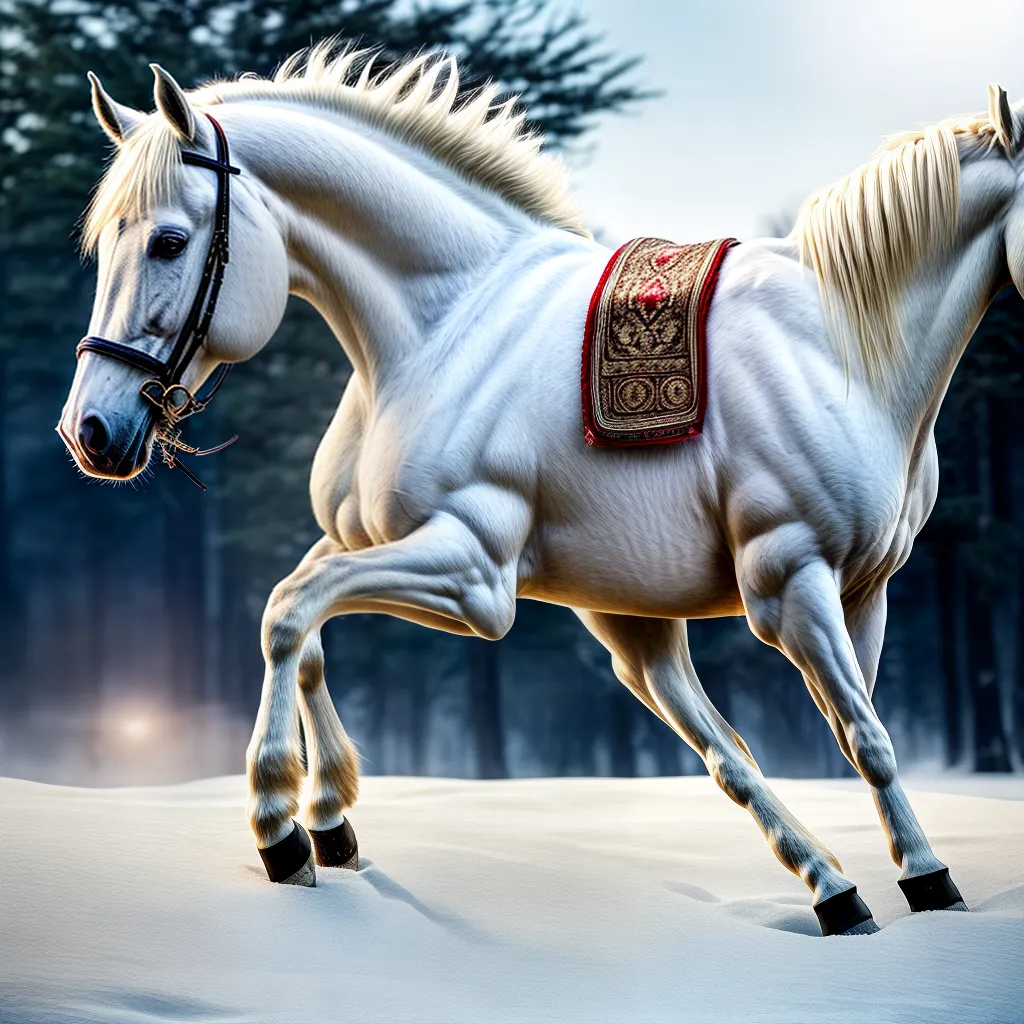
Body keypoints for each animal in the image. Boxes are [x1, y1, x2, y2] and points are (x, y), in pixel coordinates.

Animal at [58, 43, 1023, 936]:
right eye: (107, 244)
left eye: (169, 241)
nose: (90, 432)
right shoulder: (401, 549)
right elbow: (301, 618)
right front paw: (322, 821)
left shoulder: (807, 586)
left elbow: (867, 737)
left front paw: (283, 827)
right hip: (632, 625)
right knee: (726, 752)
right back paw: (831, 889)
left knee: (736, 749)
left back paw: (841, 888)